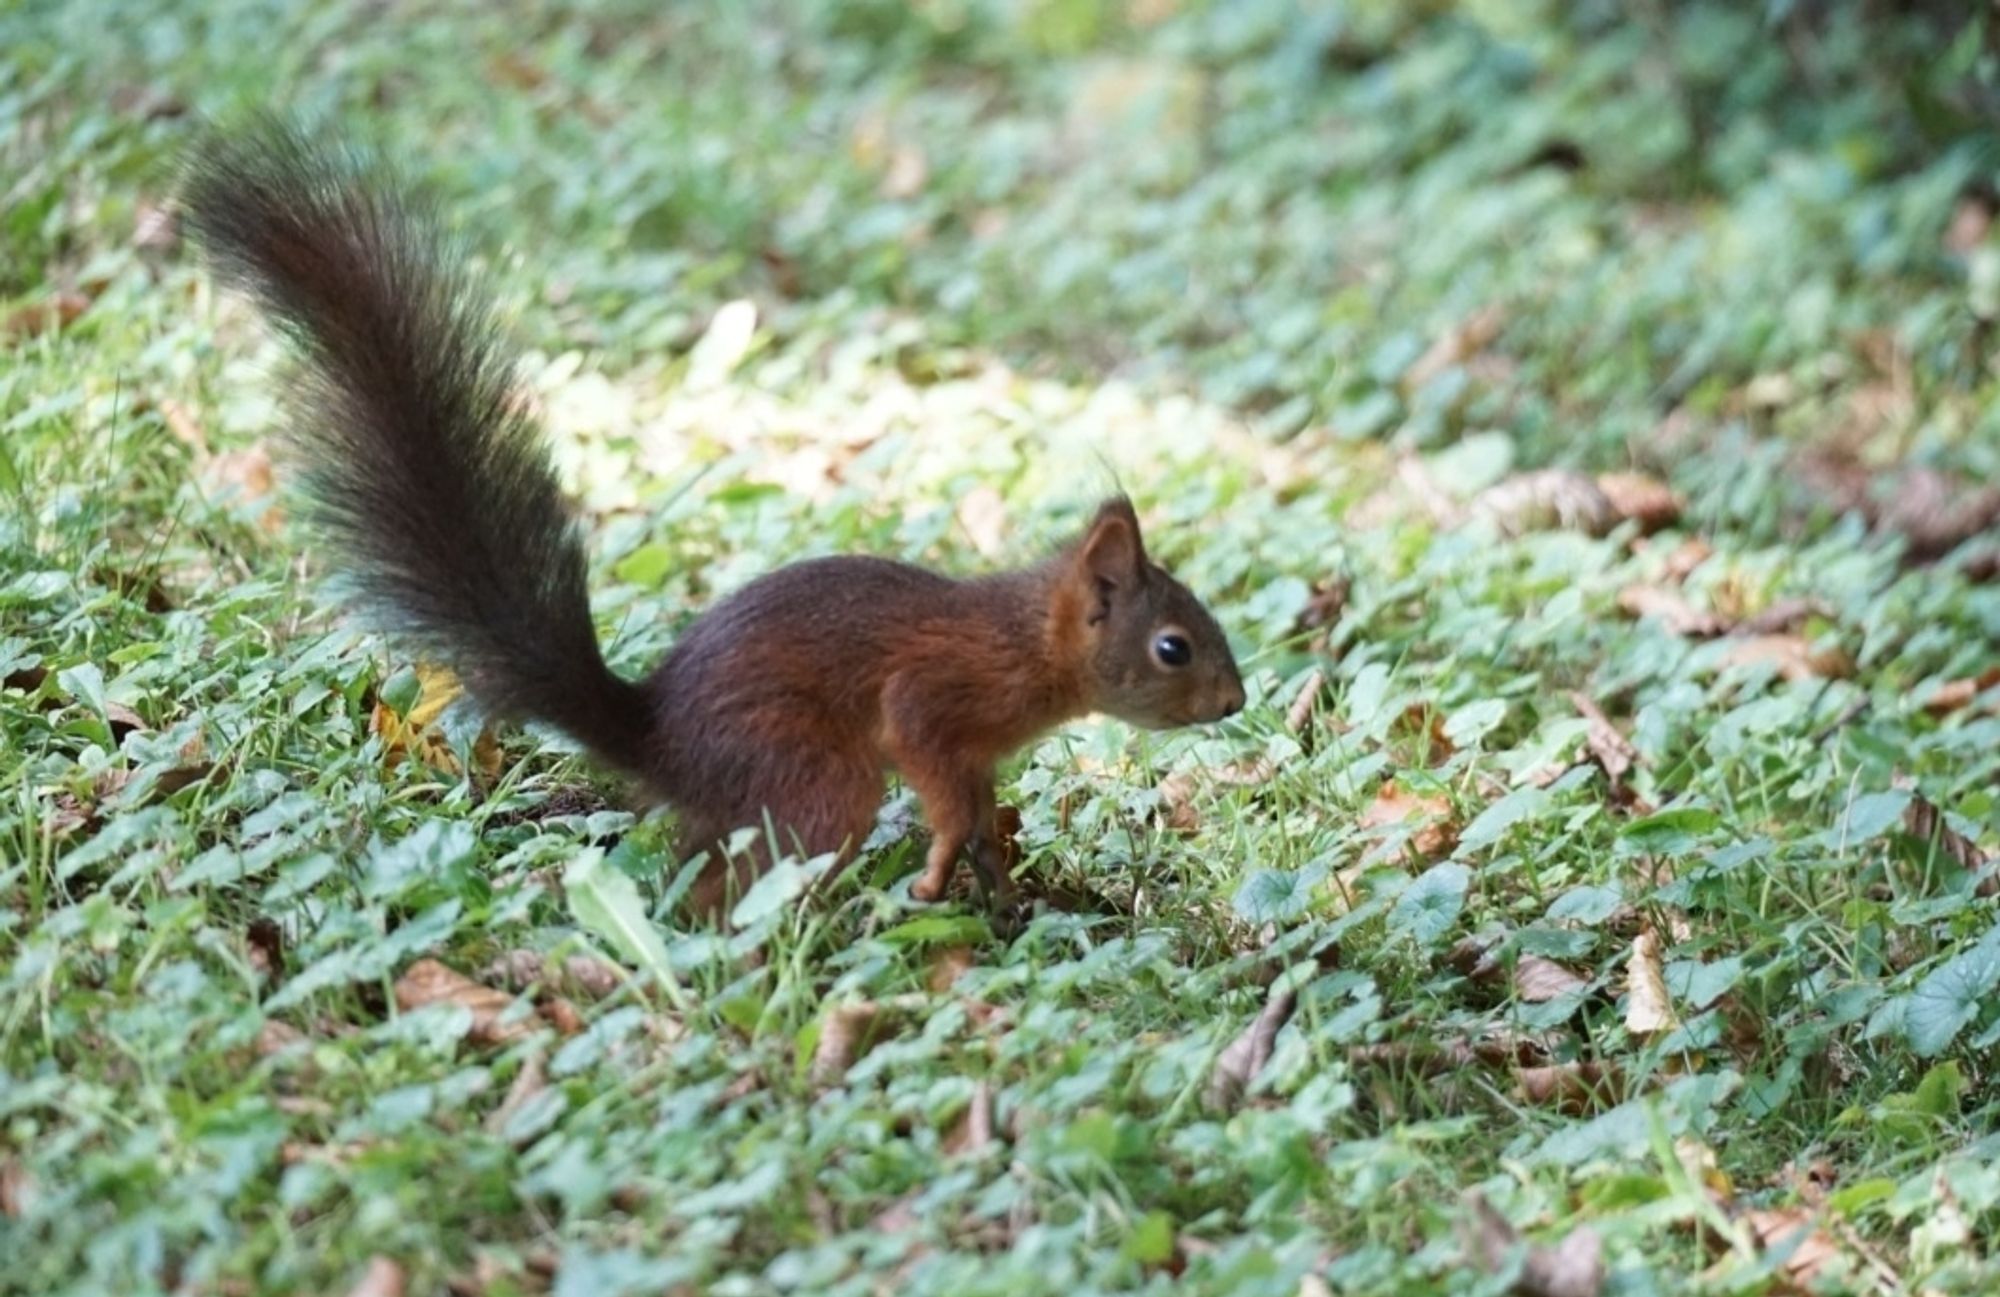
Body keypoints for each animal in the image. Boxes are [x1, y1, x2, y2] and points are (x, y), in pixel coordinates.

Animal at [188, 121, 1248, 912]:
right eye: (1173, 647)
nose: (1236, 703)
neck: (1030, 645)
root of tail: (657, 740)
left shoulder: (979, 755)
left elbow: (983, 814)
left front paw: (1000, 884)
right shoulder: (938, 696)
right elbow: (937, 777)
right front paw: (942, 875)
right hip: (812, 774)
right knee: (724, 882)